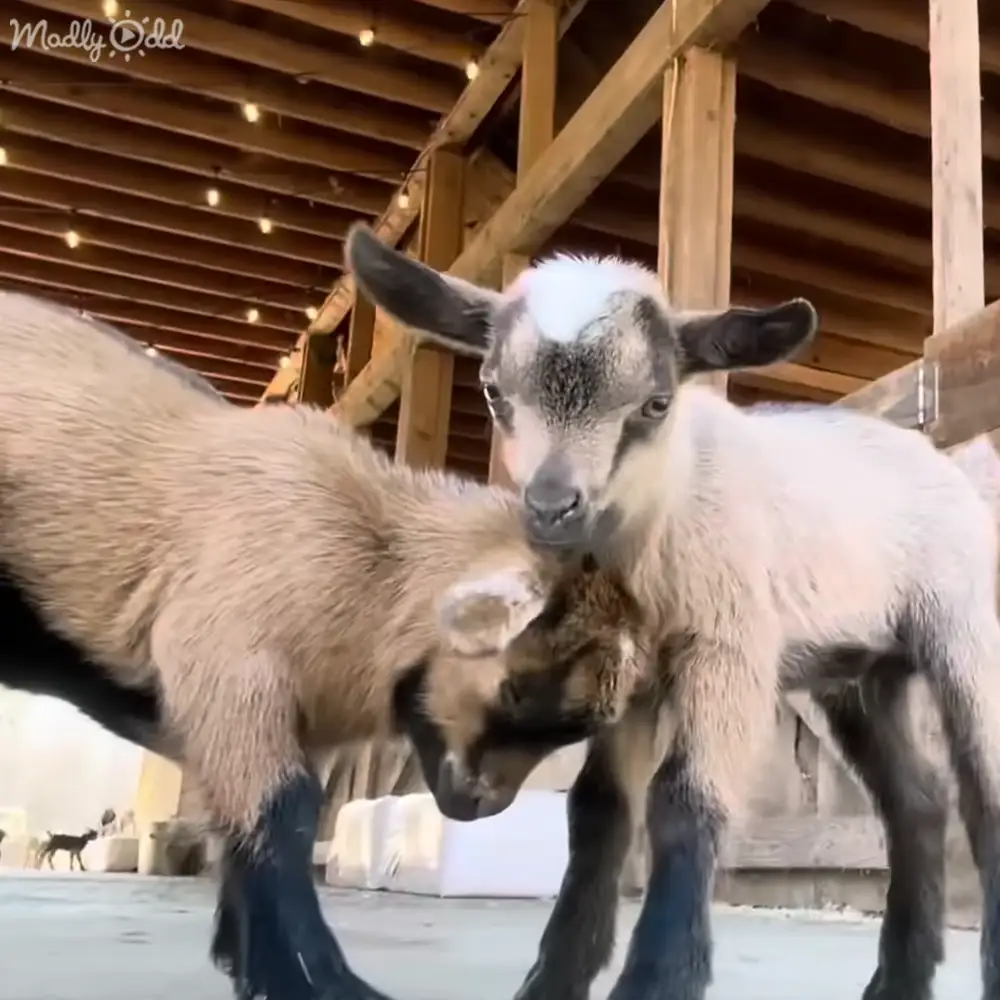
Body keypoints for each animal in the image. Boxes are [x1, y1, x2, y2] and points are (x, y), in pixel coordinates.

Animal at [0, 291, 650, 1000]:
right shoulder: (227, 663)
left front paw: (259, 967)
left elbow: (254, 837)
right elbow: (286, 816)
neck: (373, 560)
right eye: (516, 690)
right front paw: (320, 980)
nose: (481, 805)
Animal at [348, 223, 1000, 1000]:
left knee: (983, 795)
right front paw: (554, 977)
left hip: (964, 624)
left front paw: (659, 977)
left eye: (656, 403)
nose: (552, 506)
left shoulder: (727, 646)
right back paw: (899, 980)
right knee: (917, 801)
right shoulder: (636, 681)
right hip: (860, 672)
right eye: (493, 391)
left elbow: (685, 803)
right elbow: (598, 810)